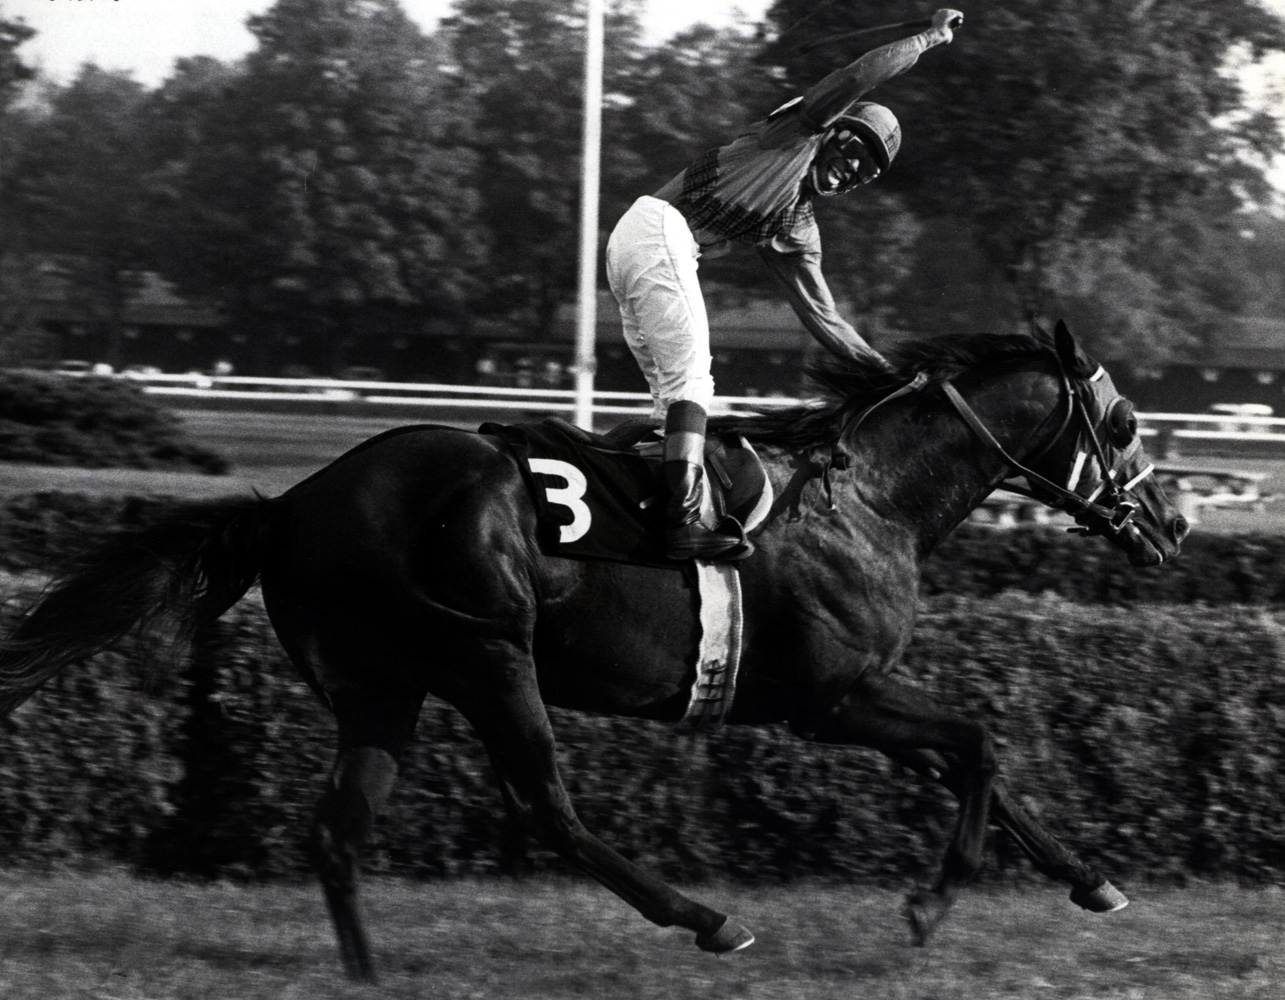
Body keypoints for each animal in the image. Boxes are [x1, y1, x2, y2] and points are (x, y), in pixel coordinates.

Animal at [0, 320, 1182, 971]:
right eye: (1124, 426)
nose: (1172, 524)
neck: (869, 497)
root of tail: (291, 501)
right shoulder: (830, 696)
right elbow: (978, 743)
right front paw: (932, 903)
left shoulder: (858, 691)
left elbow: (981, 761)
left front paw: (1092, 880)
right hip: (489, 655)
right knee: (547, 808)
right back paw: (707, 919)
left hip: (381, 686)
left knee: (339, 833)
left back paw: (368, 976)